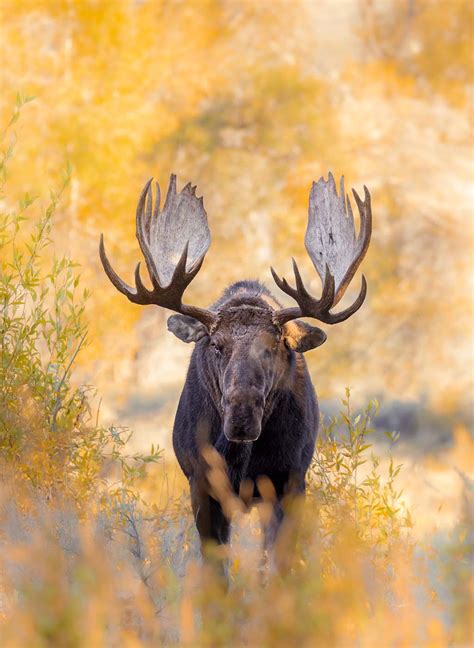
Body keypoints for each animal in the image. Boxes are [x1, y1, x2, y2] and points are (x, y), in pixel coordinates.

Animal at [100, 172, 372, 556]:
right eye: (216, 345)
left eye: (274, 344)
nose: (242, 414)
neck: (239, 460)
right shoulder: (201, 485)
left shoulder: (289, 482)